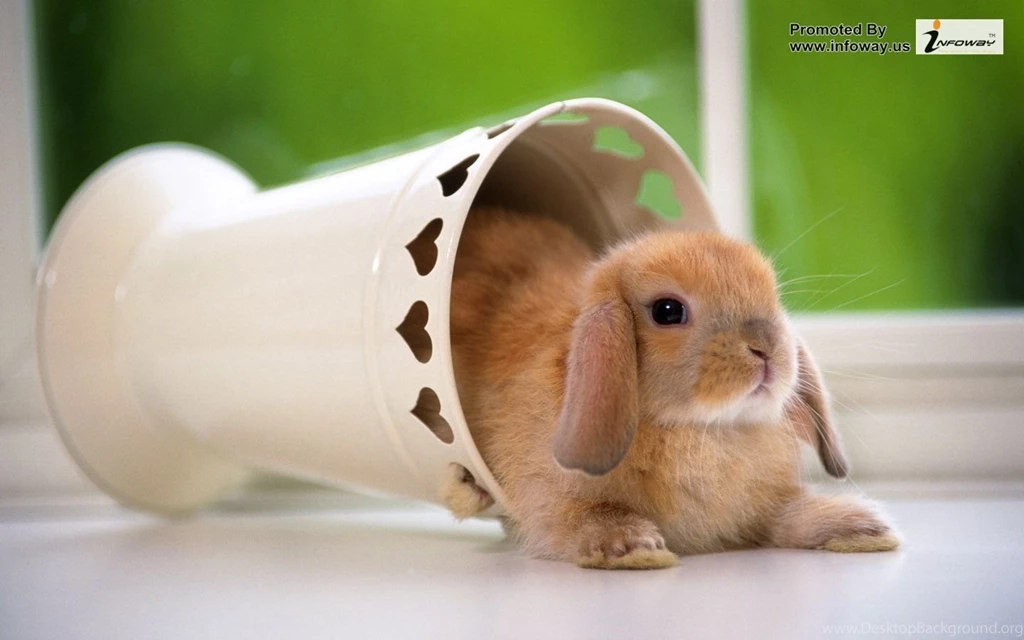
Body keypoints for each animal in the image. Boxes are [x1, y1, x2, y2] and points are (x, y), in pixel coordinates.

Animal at [445, 206, 900, 569]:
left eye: (773, 297)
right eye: (667, 311)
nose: (766, 348)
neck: (702, 430)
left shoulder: (759, 509)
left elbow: (787, 516)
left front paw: (863, 527)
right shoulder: (550, 504)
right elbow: (588, 515)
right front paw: (636, 548)